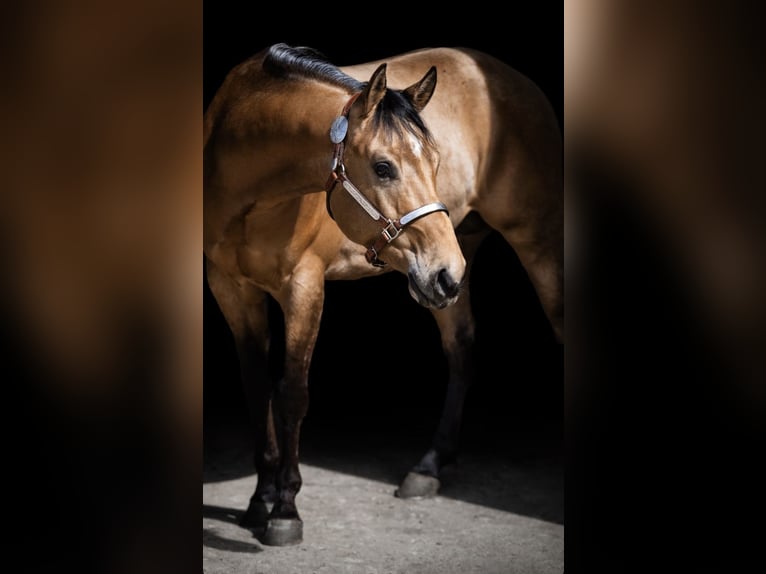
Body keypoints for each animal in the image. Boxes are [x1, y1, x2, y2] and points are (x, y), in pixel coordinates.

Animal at [204, 42, 564, 548]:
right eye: (382, 167)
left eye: (435, 162)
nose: (445, 271)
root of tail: (516, 81)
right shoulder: (231, 290)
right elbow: (258, 391)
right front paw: (259, 500)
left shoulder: (303, 287)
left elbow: (292, 394)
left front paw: (285, 510)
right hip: (455, 261)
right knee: (462, 351)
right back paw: (429, 467)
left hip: (529, 246)